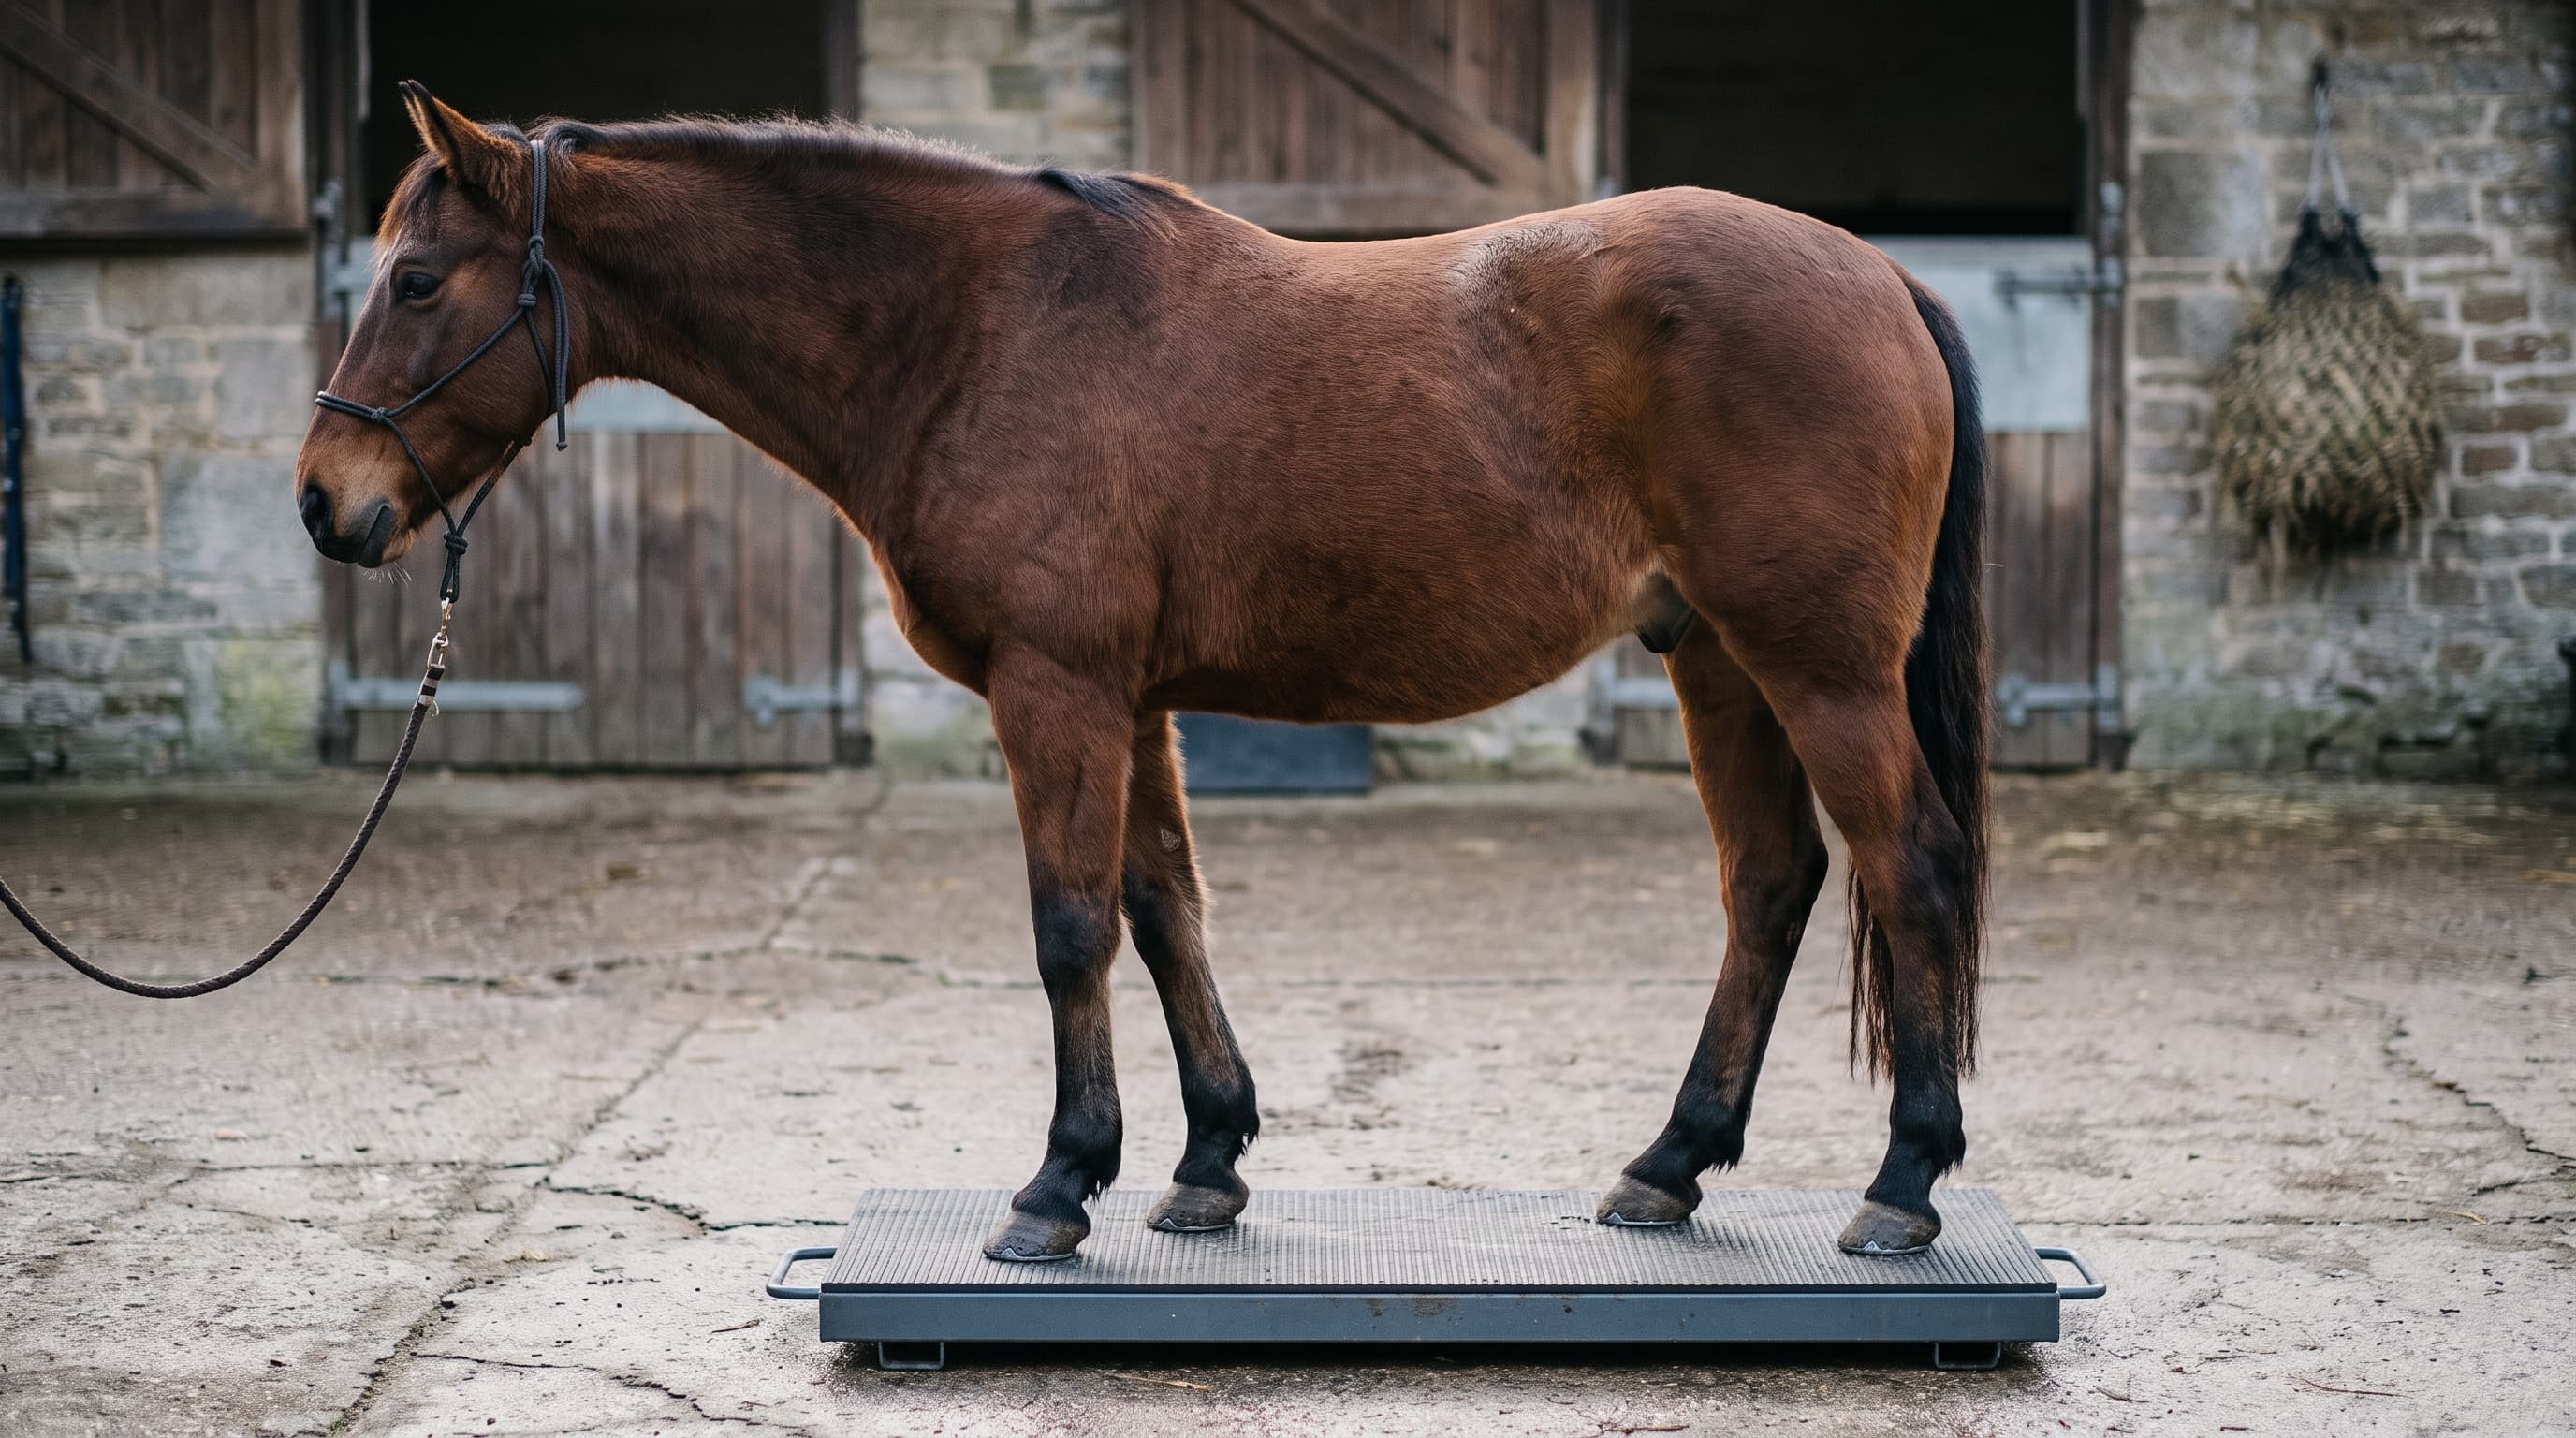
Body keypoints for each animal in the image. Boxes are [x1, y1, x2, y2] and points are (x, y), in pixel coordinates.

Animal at [296, 83, 1990, 1263]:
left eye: (421, 282)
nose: (327, 502)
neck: (975, 329)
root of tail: (1880, 279)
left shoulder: (1056, 689)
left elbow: (1071, 928)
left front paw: (1059, 1184)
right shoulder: (1137, 700)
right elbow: (1166, 909)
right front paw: (1206, 1164)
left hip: (1819, 667)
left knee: (1903, 866)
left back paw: (1903, 1183)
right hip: (1718, 663)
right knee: (1771, 882)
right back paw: (1667, 1166)